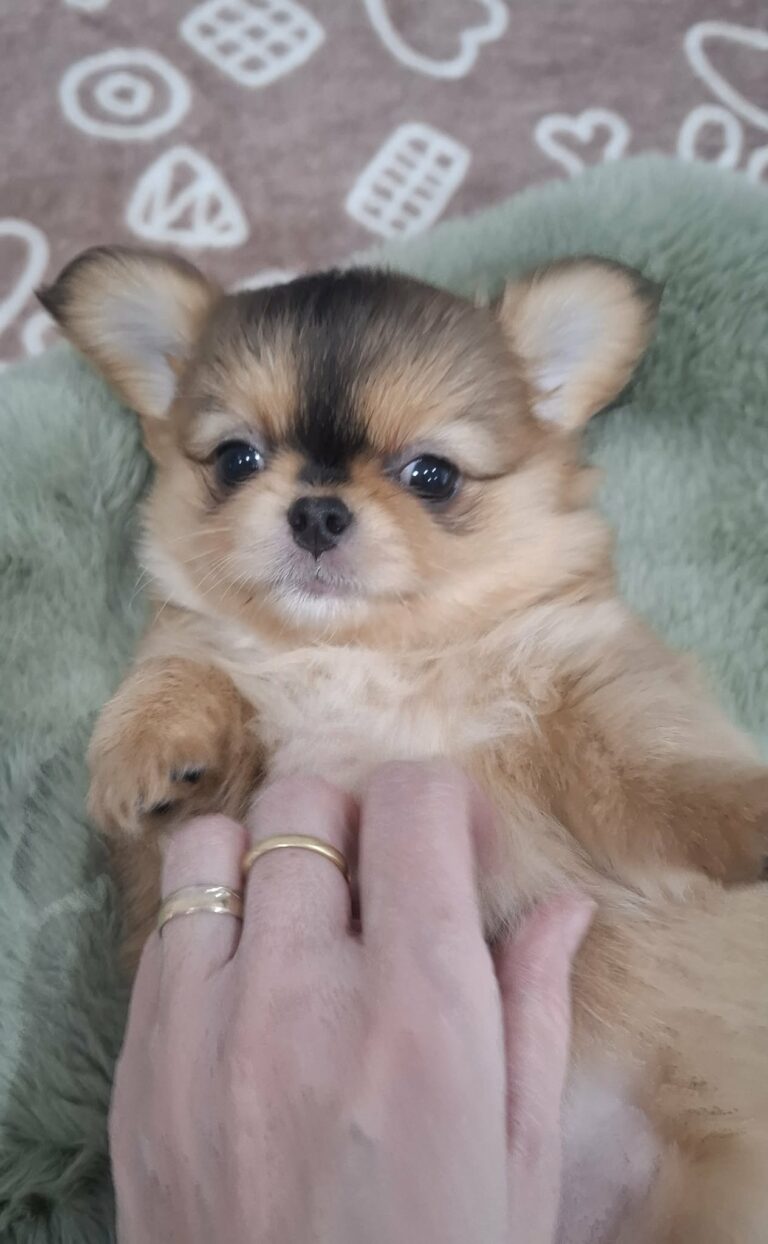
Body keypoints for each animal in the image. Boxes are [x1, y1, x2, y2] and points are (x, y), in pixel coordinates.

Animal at [41, 248, 768, 1241]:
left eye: (432, 475)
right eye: (236, 459)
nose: (316, 510)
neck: (367, 661)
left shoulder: (585, 696)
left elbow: (664, 775)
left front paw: (750, 818)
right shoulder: (169, 834)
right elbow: (185, 678)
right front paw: (155, 753)